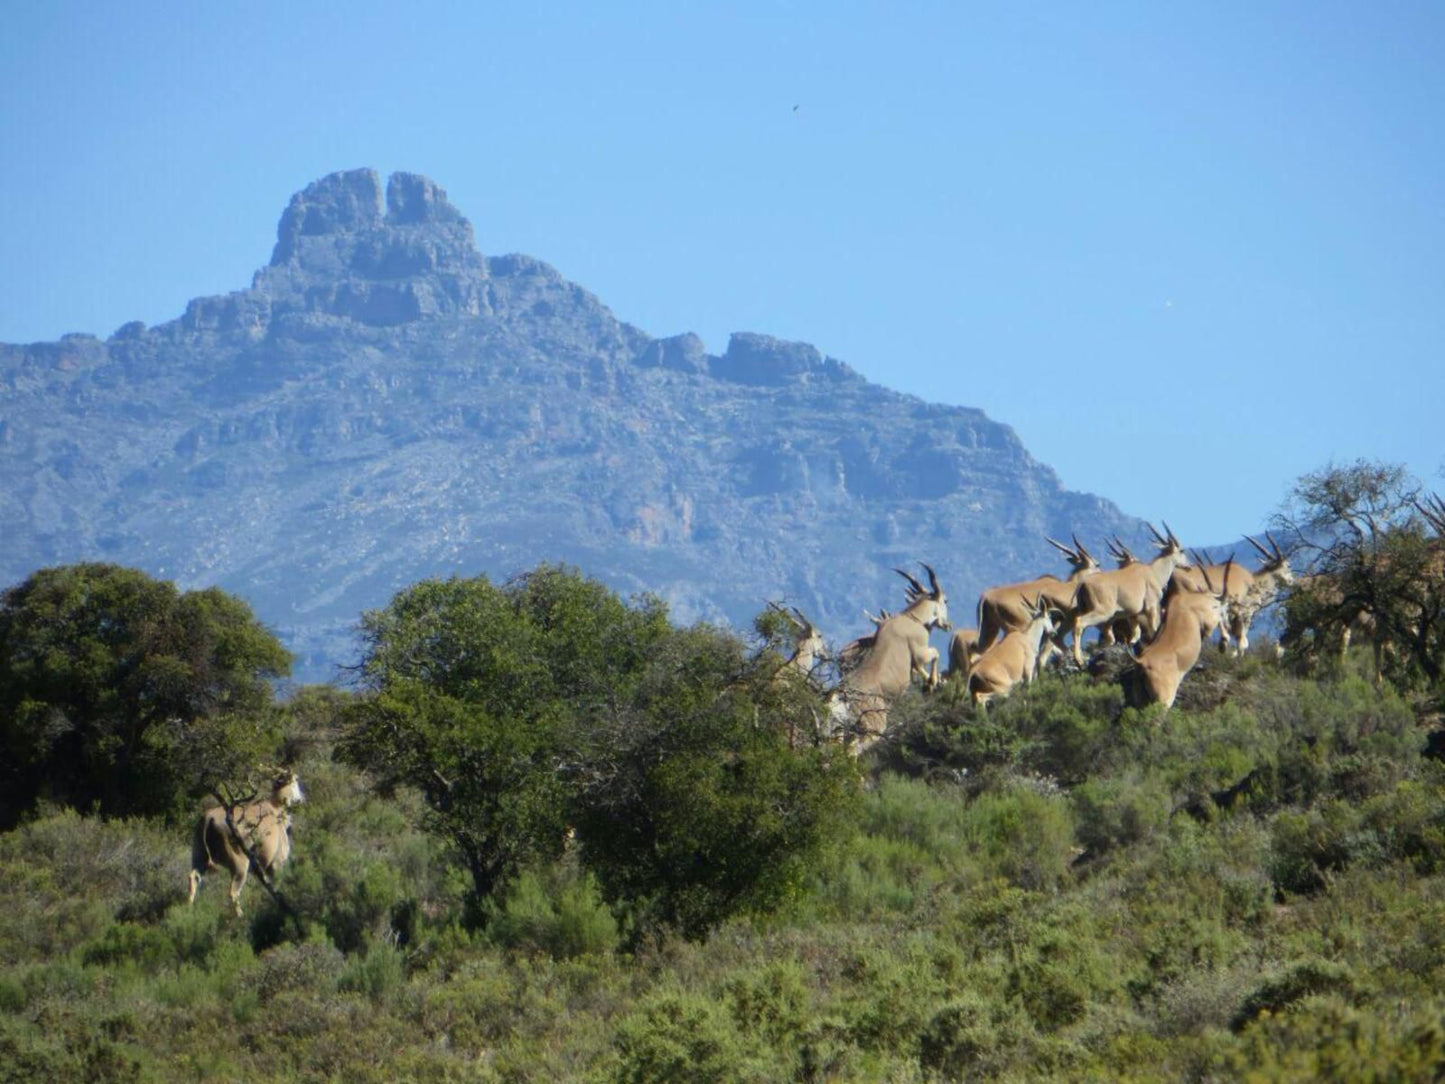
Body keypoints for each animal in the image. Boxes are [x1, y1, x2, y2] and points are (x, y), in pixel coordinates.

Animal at [189, 768, 304, 919]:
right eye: (295, 780)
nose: (301, 798)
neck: (274, 809)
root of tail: (208, 817)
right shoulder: (276, 864)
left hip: (199, 858)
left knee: (193, 879)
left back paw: (187, 911)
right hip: (240, 866)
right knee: (233, 892)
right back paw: (241, 917)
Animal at [832, 563, 953, 751]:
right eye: (945, 601)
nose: (947, 625)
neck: (911, 619)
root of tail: (844, 695)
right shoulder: (920, 653)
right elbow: (934, 654)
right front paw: (931, 683)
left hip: (839, 728)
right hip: (871, 727)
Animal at [1069, 523, 1190, 667]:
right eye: (1182, 551)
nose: (1188, 566)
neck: (1154, 572)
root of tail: (1083, 583)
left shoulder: (1132, 615)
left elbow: (1134, 638)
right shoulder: (1151, 607)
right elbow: (1153, 630)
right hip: (1103, 613)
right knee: (1080, 622)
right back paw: (1079, 660)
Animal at [1127, 560, 1231, 713]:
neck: (1184, 595)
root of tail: (1141, 662)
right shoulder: (1208, 623)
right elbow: (1219, 619)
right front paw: (1223, 644)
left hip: (1140, 702)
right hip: (1164, 700)